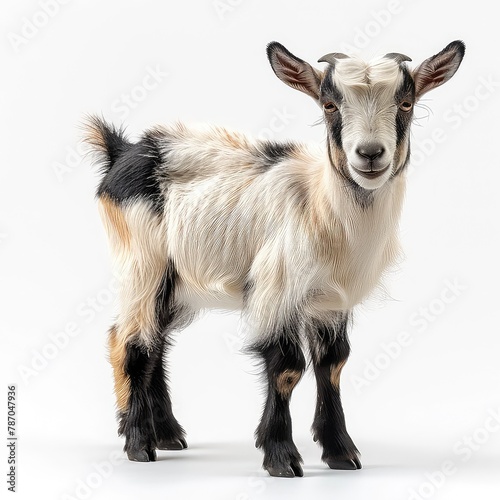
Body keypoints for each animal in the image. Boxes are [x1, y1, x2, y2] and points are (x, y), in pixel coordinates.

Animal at [85, 41, 464, 478]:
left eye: (406, 103)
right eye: (329, 105)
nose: (369, 155)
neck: (320, 206)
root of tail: (124, 151)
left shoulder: (330, 301)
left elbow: (333, 364)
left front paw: (341, 452)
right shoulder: (276, 289)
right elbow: (287, 367)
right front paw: (282, 457)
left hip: (178, 281)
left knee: (155, 341)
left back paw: (167, 434)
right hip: (142, 262)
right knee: (130, 342)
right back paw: (139, 444)